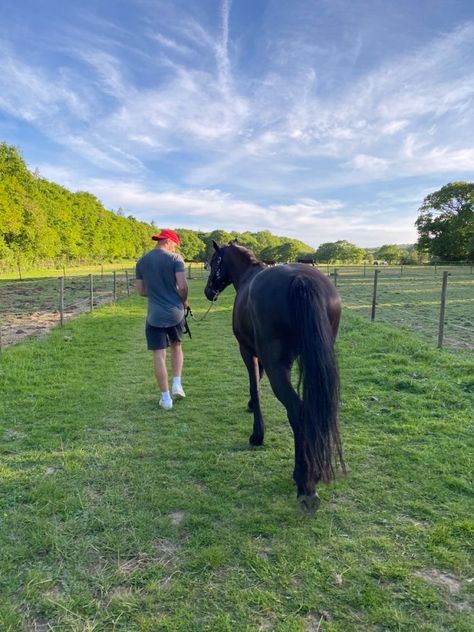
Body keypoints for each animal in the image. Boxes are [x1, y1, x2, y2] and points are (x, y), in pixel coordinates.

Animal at [204, 239, 344, 512]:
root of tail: (301, 279)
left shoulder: (248, 351)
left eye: (214, 262)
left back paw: (305, 484)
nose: (208, 291)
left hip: (278, 367)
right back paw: (314, 473)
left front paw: (257, 434)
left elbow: (254, 386)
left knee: (298, 412)